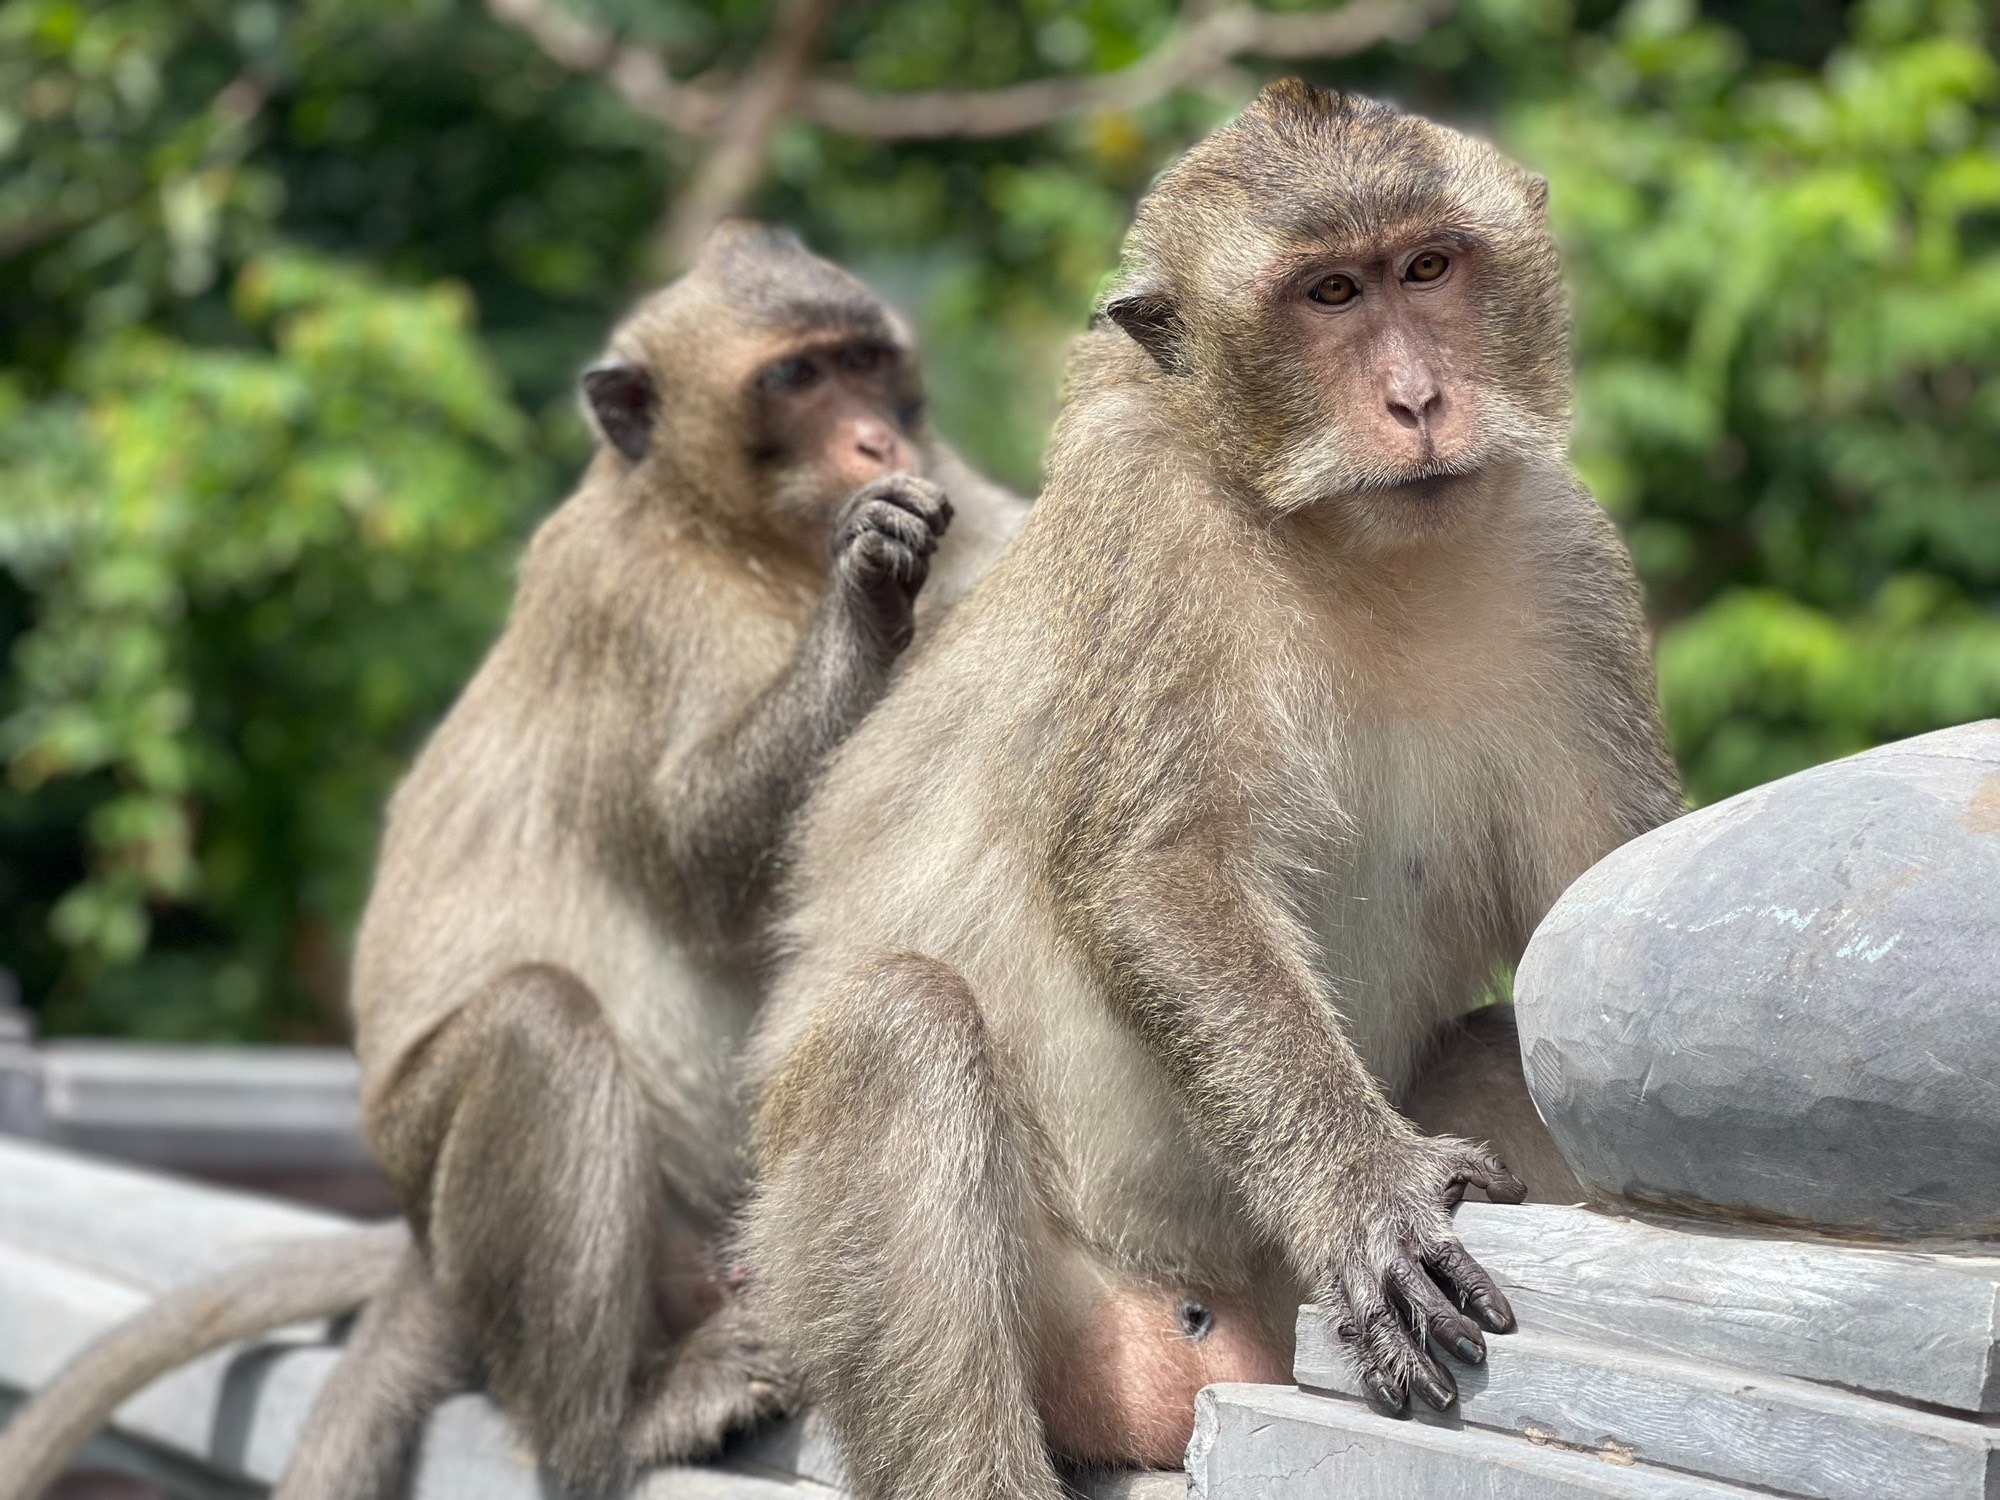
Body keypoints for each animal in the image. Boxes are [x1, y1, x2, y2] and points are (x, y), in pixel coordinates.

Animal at [0, 223, 1032, 1500]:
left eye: (869, 363)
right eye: (797, 377)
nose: (876, 439)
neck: (732, 533)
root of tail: (420, 1245)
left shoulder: (970, 513)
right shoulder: (620, 601)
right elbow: (706, 872)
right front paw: (866, 589)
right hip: (475, 1179)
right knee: (536, 1026)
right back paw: (609, 1421)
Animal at [752, 85, 1688, 1500]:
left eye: (1428, 268)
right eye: (1329, 293)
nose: (1420, 397)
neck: (1350, 541)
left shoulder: (1563, 551)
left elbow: (1603, 921)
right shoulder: (1150, 530)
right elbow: (1157, 875)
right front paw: (1362, 1197)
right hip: (890, 1279)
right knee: (896, 1030)